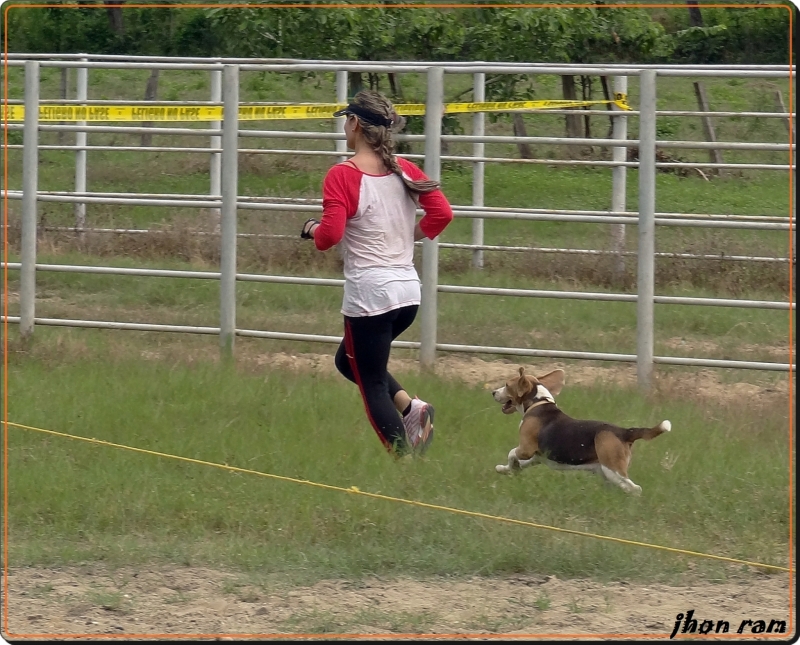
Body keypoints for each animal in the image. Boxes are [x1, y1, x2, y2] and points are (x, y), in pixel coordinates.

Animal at [494, 368, 668, 494]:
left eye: (507, 385)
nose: (493, 392)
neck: (539, 402)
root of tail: (624, 432)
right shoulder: (537, 457)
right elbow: (519, 464)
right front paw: (505, 469)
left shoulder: (526, 449)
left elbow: (511, 453)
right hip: (606, 472)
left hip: (612, 468)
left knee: (634, 488)